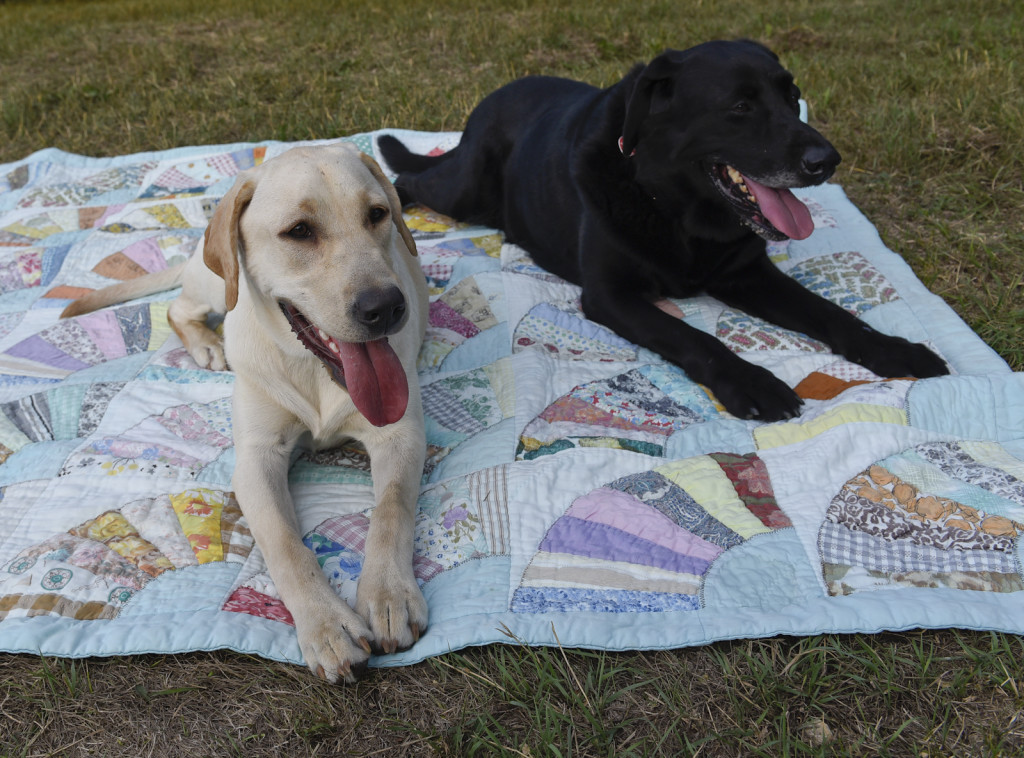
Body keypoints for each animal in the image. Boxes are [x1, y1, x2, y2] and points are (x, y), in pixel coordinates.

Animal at [380, 39, 946, 419]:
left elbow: (831, 313)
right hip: (464, 189)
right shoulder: (611, 296)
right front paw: (752, 382)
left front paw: (893, 349)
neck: (680, 212)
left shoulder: (747, 275)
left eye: (793, 97)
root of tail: (488, 101)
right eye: (740, 106)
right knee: (408, 177)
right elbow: (692, 335)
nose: (826, 161)